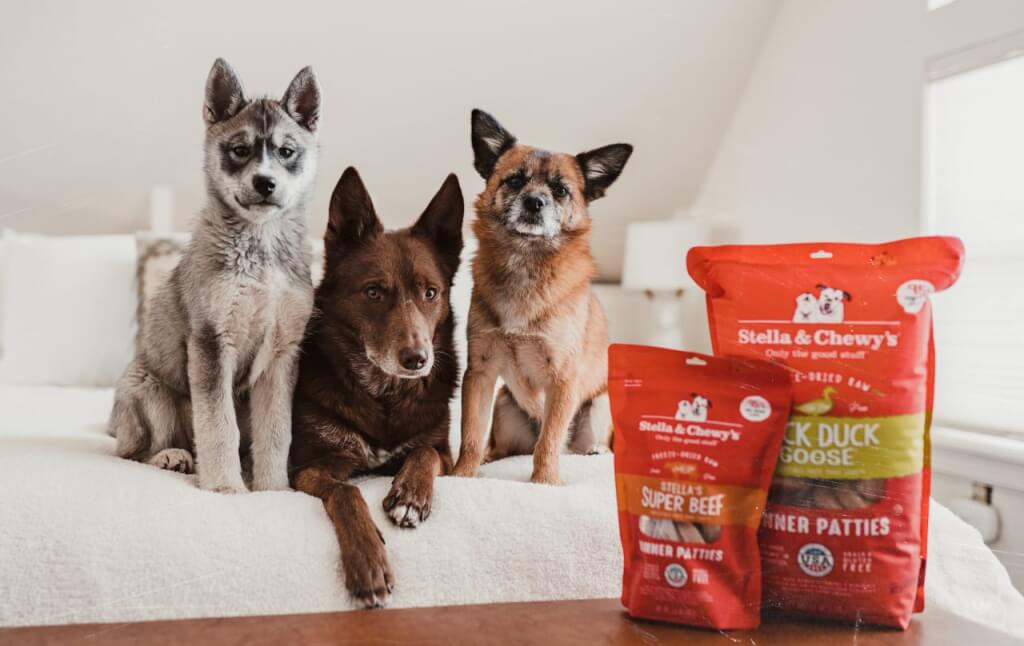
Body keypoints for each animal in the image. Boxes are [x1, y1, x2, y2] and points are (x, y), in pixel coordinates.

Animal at [111, 61, 319, 495]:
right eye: (240, 150)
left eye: (286, 152)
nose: (265, 183)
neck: (260, 245)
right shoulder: (211, 340)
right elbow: (218, 425)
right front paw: (225, 486)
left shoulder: (281, 355)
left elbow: (277, 432)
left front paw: (272, 490)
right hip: (148, 389)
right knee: (134, 452)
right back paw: (172, 456)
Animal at [288, 165, 464, 606]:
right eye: (373, 292)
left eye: (431, 293)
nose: (418, 360)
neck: (383, 394)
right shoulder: (309, 467)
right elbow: (347, 494)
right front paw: (368, 562)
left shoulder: (445, 454)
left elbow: (423, 452)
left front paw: (410, 497)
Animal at [454, 110, 630, 485]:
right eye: (515, 180)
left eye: (561, 190)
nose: (534, 202)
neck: (526, 260)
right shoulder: (480, 375)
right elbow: (471, 434)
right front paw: (461, 475)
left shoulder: (562, 380)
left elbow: (548, 441)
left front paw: (545, 482)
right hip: (504, 404)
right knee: (502, 447)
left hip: (598, 407)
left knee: (572, 444)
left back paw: (595, 451)